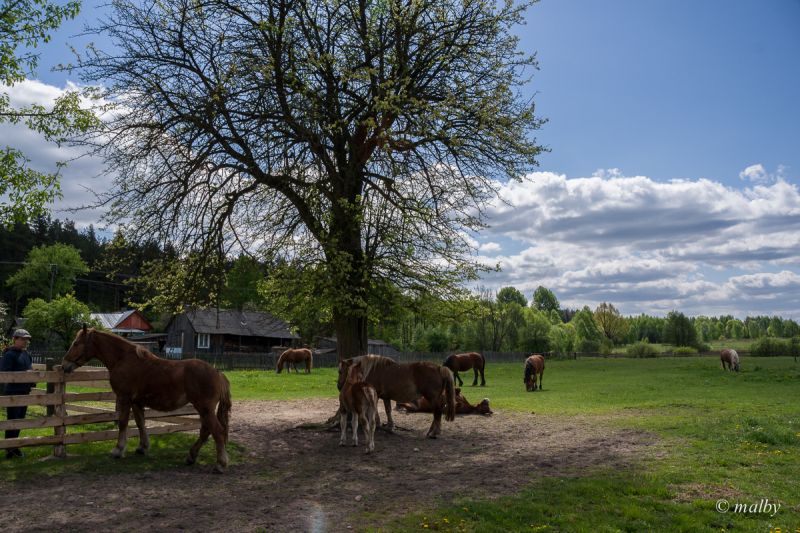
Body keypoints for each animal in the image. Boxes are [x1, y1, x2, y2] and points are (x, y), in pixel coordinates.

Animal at [62, 326, 231, 472]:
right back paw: (191, 456)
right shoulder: (137, 402)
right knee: (206, 431)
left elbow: (123, 423)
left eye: (76, 343)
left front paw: (118, 449)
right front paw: (142, 447)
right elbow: (140, 423)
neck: (123, 359)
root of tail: (217, 373)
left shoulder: (124, 398)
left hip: (204, 408)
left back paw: (220, 464)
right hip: (204, 410)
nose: (64, 365)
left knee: (217, 431)